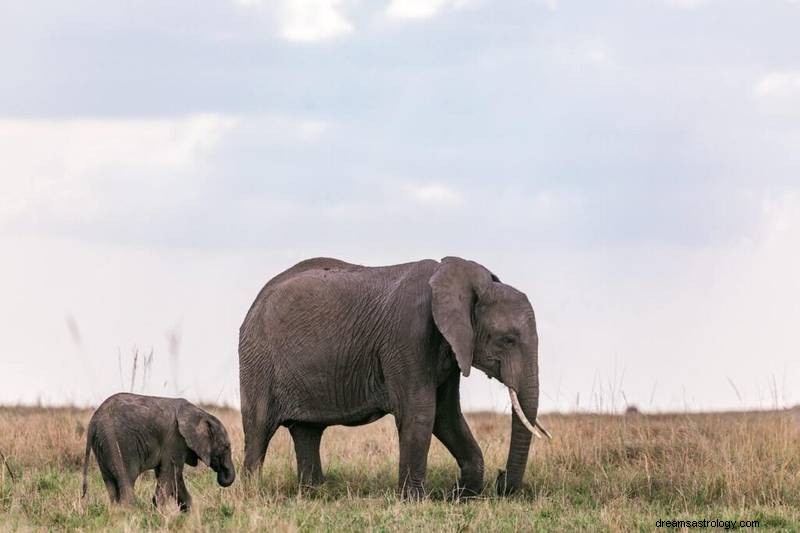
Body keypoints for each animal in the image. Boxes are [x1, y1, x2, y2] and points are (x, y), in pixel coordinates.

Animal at [81, 393, 235, 510]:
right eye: (226, 447)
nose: (220, 473)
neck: (201, 413)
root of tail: (93, 422)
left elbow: (175, 478)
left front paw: (190, 513)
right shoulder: (175, 441)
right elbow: (171, 473)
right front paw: (160, 512)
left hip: (102, 447)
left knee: (110, 484)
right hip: (117, 442)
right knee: (126, 479)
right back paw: (131, 513)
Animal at [238, 256, 549, 498]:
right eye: (507, 340)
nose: (500, 478)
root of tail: (256, 300)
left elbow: (447, 416)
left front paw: (461, 495)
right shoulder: (408, 337)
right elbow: (421, 412)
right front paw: (415, 500)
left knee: (307, 431)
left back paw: (314, 494)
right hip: (258, 359)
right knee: (258, 427)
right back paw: (253, 493)